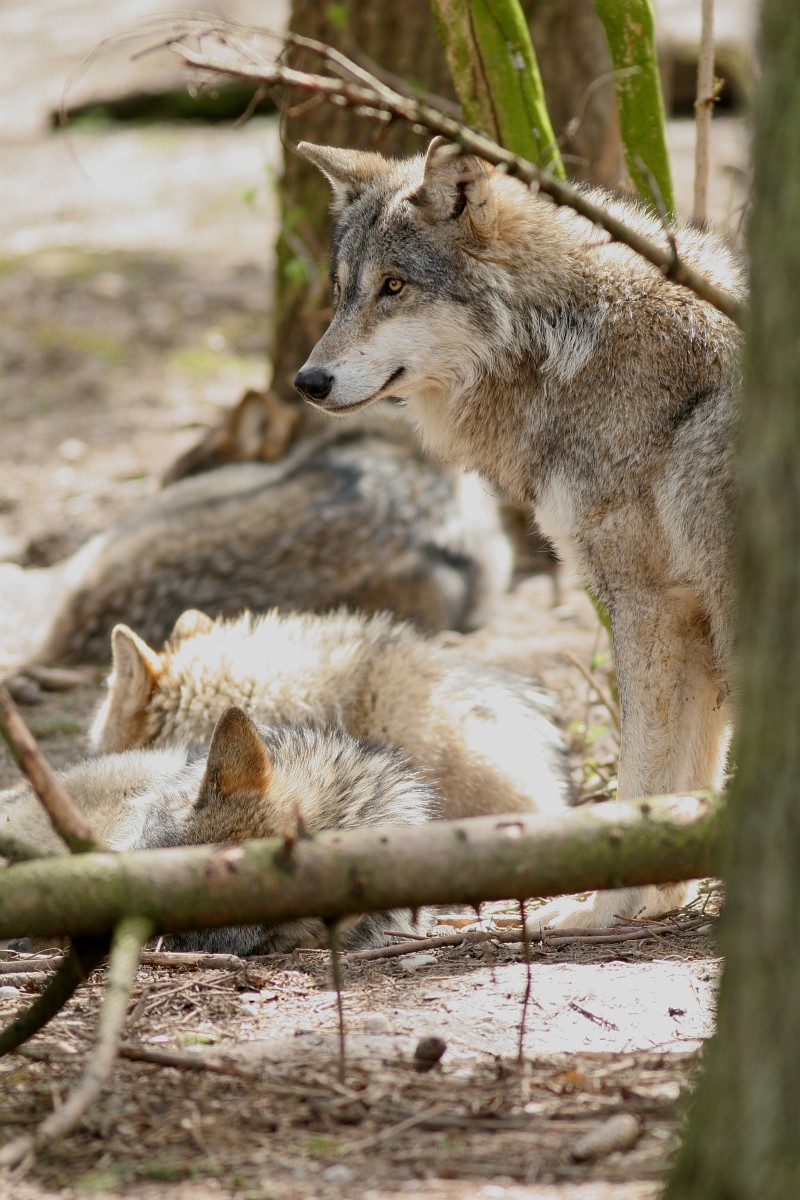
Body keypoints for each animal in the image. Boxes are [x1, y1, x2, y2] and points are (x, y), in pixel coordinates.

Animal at [294, 137, 746, 928]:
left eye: (394, 287)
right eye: (344, 289)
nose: (307, 381)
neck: (567, 346)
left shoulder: (650, 605)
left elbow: (642, 774)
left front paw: (607, 904)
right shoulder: (687, 616)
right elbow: (683, 775)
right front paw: (663, 891)